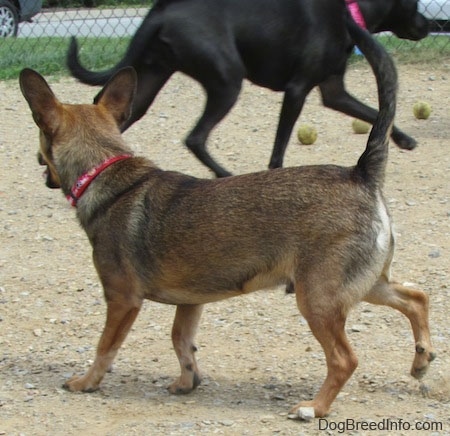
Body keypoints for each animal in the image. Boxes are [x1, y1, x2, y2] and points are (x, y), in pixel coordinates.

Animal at [19, 23, 434, 418]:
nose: (39, 164)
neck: (107, 171)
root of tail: (360, 173)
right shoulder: (190, 302)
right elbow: (181, 341)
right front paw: (187, 382)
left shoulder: (122, 300)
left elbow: (105, 348)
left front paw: (86, 382)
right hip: (363, 283)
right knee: (416, 297)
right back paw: (421, 360)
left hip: (318, 298)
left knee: (345, 359)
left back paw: (313, 407)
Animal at [67, 0, 428, 178]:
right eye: (413, 3)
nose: (430, 24)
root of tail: (160, 12)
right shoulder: (297, 90)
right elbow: (280, 145)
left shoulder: (333, 91)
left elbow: (374, 112)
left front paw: (403, 139)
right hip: (227, 82)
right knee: (195, 137)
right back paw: (222, 172)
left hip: (147, 82)